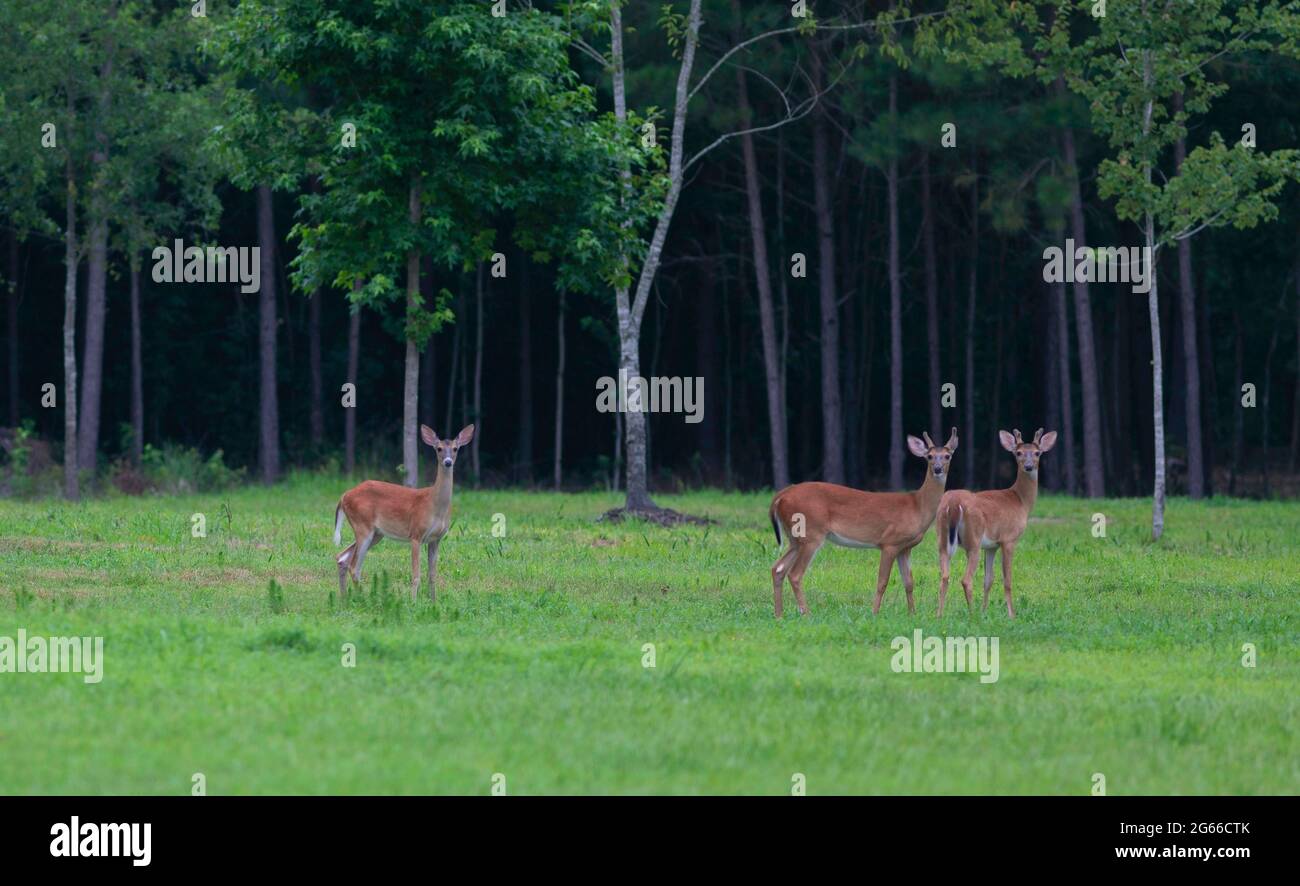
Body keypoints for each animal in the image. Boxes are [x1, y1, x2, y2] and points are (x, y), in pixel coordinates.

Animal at [332, 420, 475, 600]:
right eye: (439, 448)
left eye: (456, 448)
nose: (448, 462)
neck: (434, 505)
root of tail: (344, 496)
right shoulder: (416, 534)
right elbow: (416, 575)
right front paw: (413, 602)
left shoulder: (436, 539)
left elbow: (432, 575)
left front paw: (433, 601)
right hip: (362, 525)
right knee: (354, 566)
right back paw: (363, 598)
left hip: (376, 533)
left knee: (341, 558)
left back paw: (345, 598)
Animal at [764, 426, 961, 613]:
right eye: (929, 456)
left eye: (947, 456)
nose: (937, 469)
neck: (917, 506)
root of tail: (781, 496)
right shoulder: (890, 542)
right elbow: (882, 582)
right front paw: (875, 613)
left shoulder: (905, 548)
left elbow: (909, 583)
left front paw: (912, 614)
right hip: (811, 534)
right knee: (795, 574)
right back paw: (806, 613)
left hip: (795, 538)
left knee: (777, 569)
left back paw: (779, 614)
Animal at [941, 426, 1060, 618]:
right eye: (1018, 452)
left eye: (1037, 452)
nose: (1028, 466)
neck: (1020, 501)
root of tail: (953, 504)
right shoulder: (1008, 539)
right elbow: (1007, 579)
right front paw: (1012, 614)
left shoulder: (991, 545)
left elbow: (988, 579)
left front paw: (985, 611)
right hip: (973, 540)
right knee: (966, 579)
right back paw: (972, 615)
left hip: (942, 537)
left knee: (944, 575)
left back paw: (941, 614)